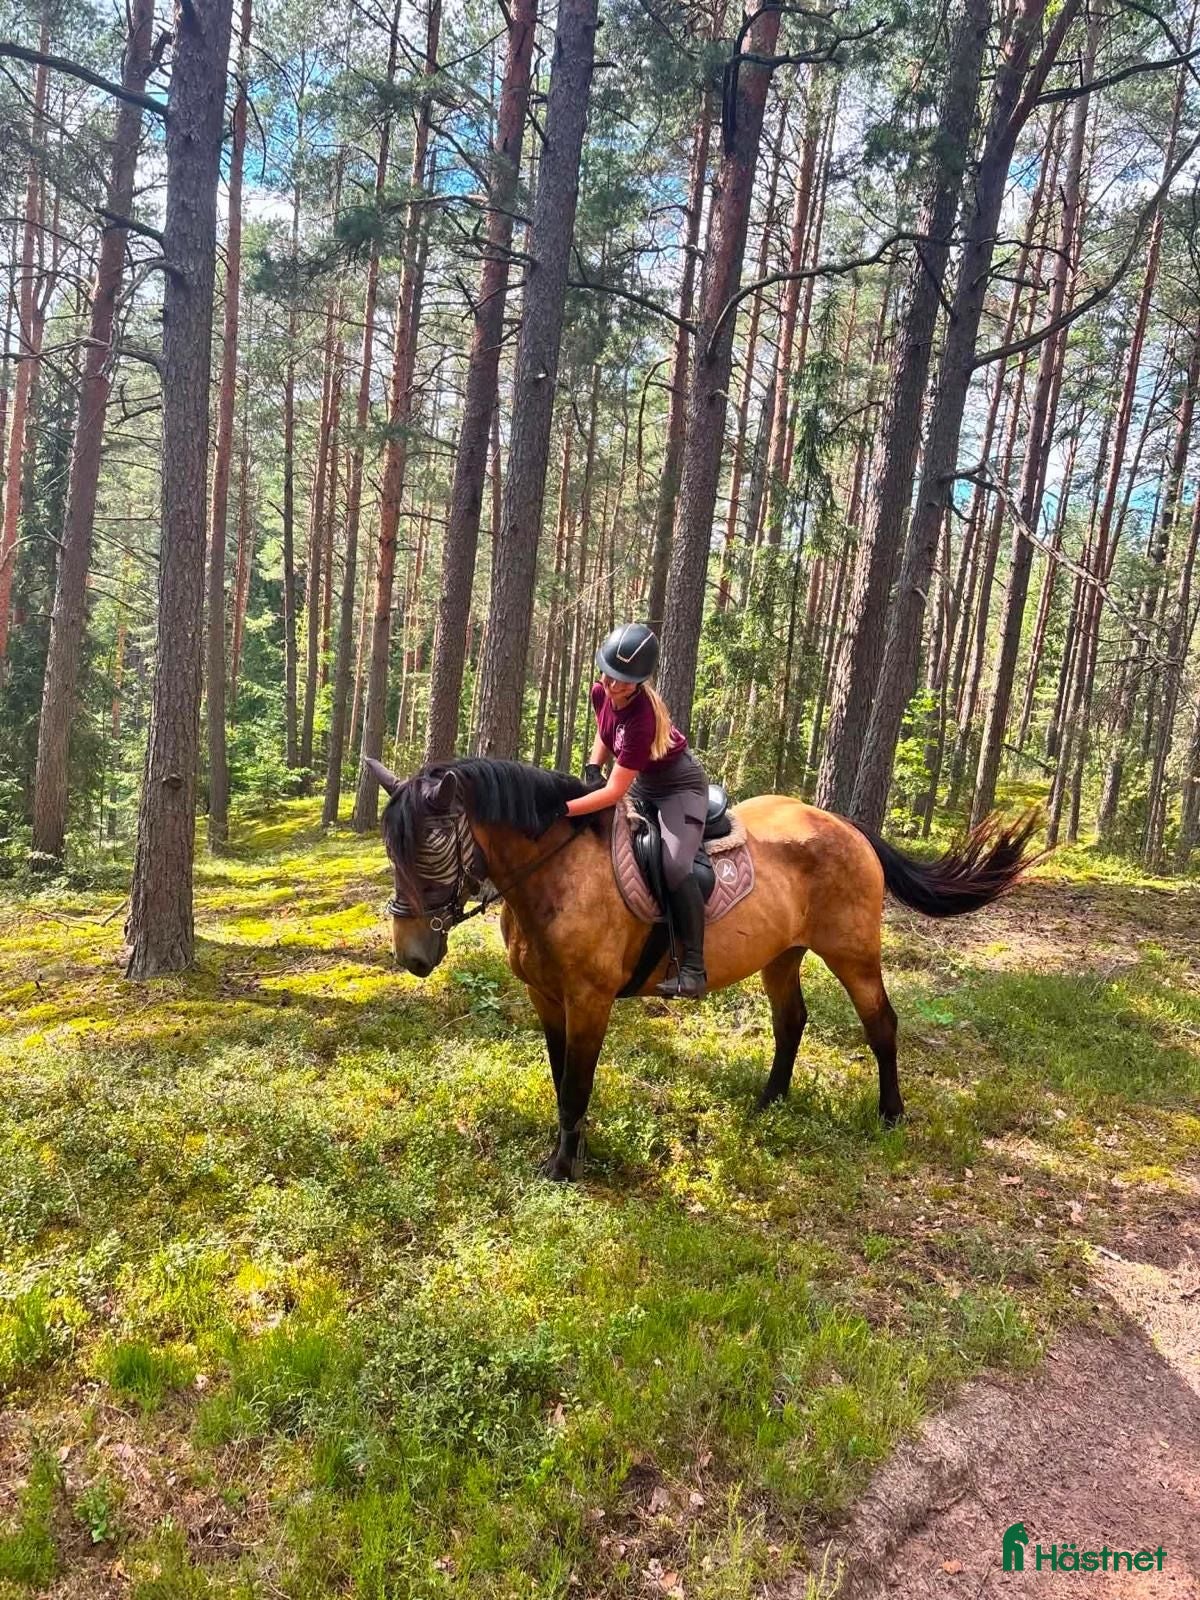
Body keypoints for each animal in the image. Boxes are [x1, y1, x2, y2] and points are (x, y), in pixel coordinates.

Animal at [364, 755, 1039, 1181]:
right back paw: (769, 1102)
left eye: (430, 848)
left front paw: (563, 1169)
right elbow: (561, 1080)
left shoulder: (589, 1000)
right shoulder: (546, 998)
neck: (558, 874)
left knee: (881, 1024)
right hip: (781, 955)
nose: (412, 955)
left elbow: (577, 1084)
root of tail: (847, 827)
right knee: (792, 1020)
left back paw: (891, 1114)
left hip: (854, 954)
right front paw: (570, 1152)